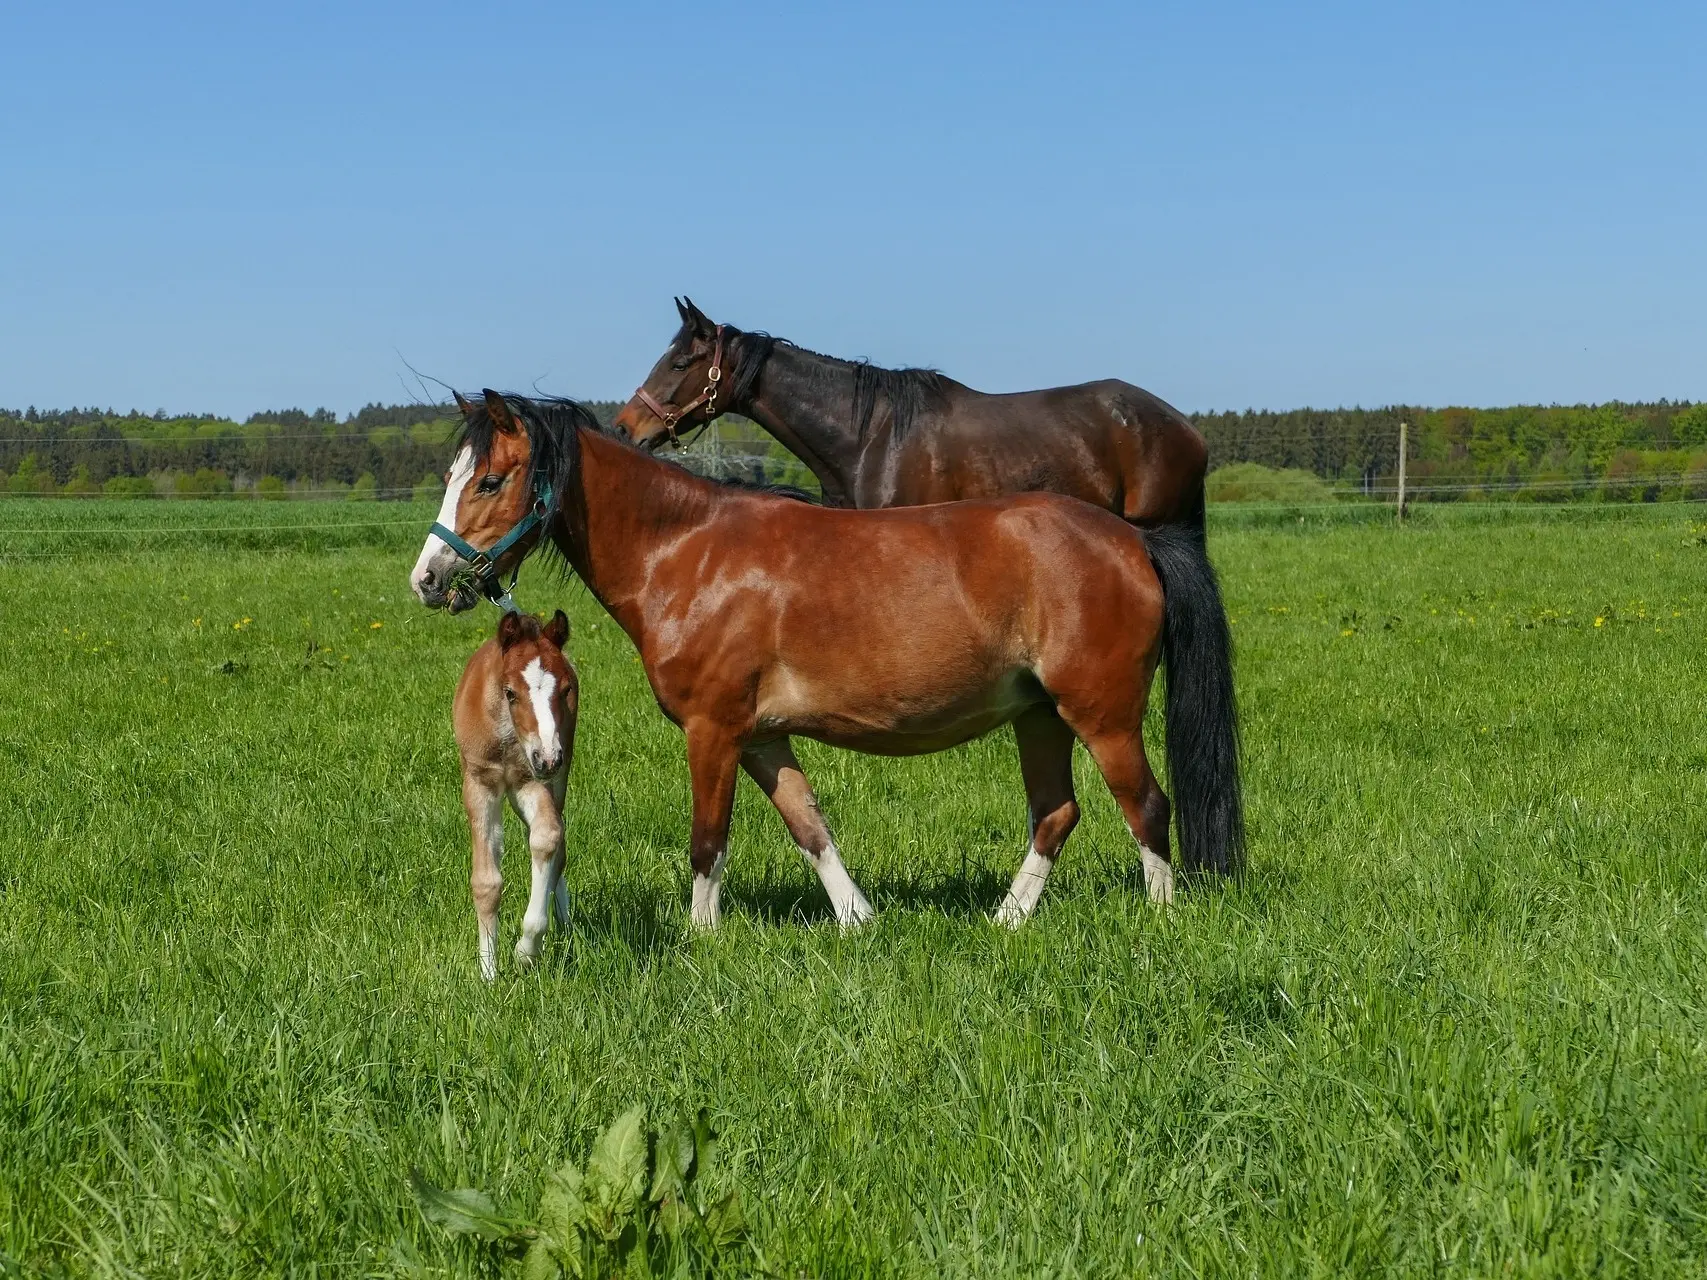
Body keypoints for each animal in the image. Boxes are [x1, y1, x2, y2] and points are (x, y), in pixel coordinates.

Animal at [413, 390, 1242, 935]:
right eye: (451, 476)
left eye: (489, 480)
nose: (427, 577)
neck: (686, 551)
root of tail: (1134, 540)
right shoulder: (760, 737)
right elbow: (808, 825)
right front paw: (857, 919)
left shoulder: (712, 731)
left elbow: (707, 839)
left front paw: (700, 938)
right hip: (1038, 715)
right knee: (1055, 813)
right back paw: (1004, 920)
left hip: (1102, 716)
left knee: (1146, 808)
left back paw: (1159, 920)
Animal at [454, 610, 580, 983]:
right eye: (510, 693)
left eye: (565, 689)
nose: (549, 757)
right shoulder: (479, 784)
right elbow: (486, 882)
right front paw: (488, 973)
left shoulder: (532, 780)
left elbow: (548, 837)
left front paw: (527, 950)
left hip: (557, 778)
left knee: (557, 843)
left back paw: (564, 924)